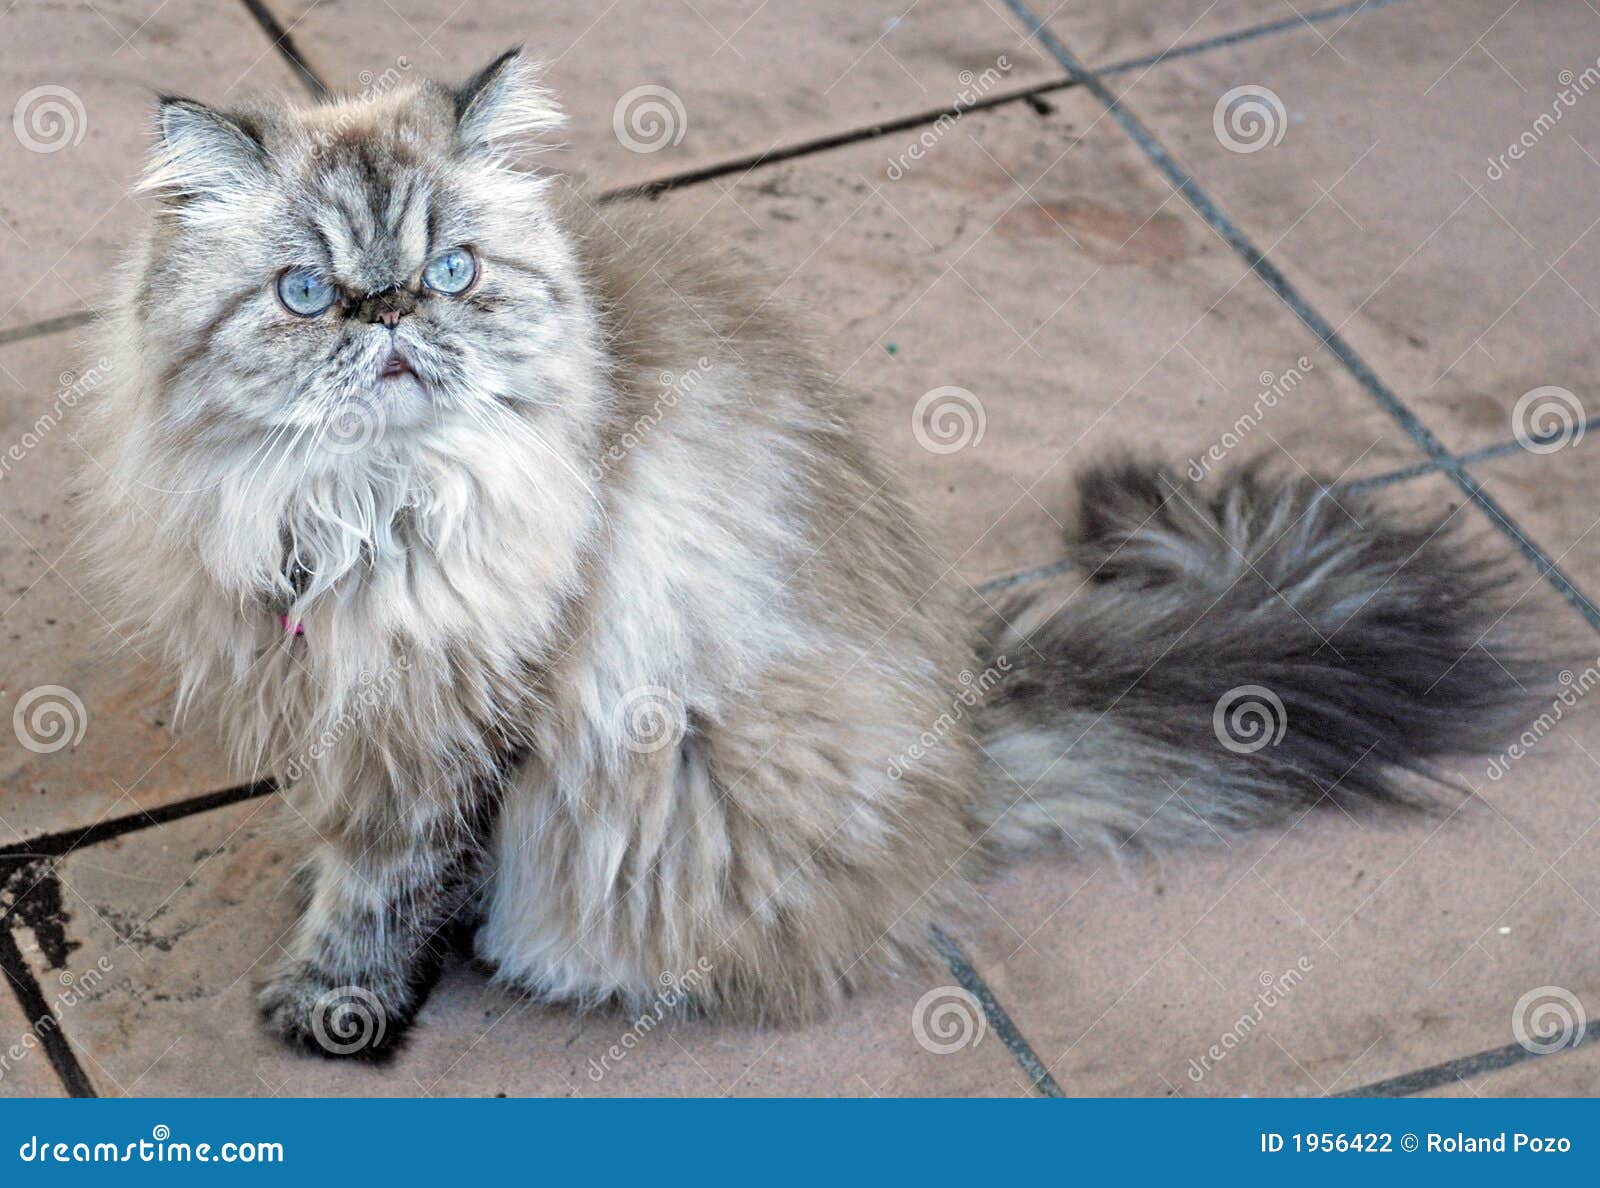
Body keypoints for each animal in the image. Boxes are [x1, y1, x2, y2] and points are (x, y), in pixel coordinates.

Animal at [84, 48, 1548, 1063]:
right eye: (308, 294)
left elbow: (389, 883)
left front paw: (342, 1004)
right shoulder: (352, 698)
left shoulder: (456, 718)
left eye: (451, 273)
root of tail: (972, 758)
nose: (389, 319)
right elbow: (353, 843)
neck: (364, 503)